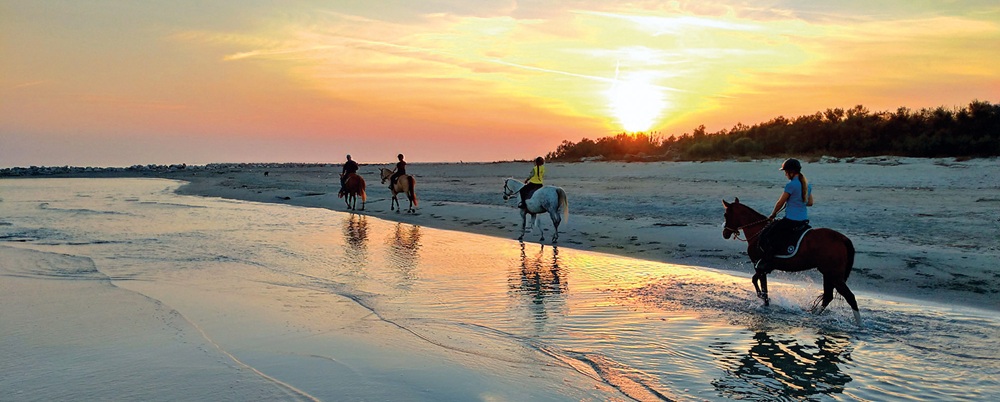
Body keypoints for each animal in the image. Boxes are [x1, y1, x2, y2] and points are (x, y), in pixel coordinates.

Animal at [722, 198, 861, 325]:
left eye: (726, 215)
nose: (725, 233)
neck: (758, 231)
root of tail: (842, 238)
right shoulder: (763, 269)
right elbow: (762, 286)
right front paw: (765, 304)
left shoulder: (760, 266)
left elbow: (756, 281)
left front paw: (762, 297)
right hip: (828, 274)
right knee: (828, 297)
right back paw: (813, 315)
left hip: (834, 276)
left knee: (850, 297)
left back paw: (859, 324)